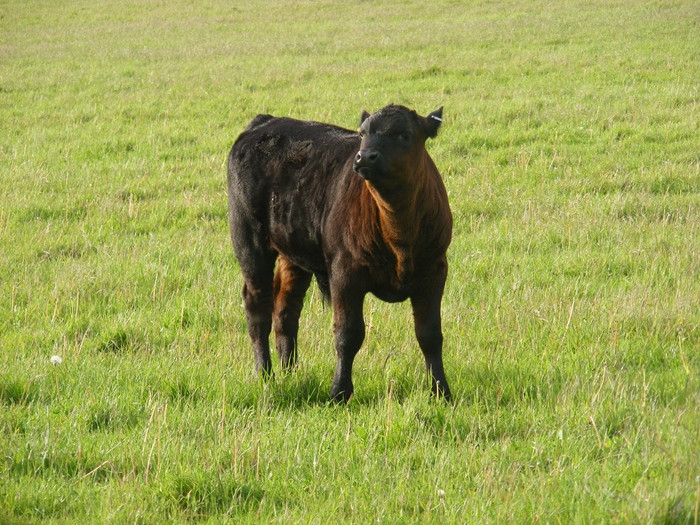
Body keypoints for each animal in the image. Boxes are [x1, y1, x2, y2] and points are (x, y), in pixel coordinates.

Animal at [227, 104, 453, 402]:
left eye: (404, 134)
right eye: (362, 133)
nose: (365, 156)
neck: (399, 235)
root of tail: (266, 122)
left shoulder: (435, 272)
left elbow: (430, 335)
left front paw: (441, 391)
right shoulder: (345, 273)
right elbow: (348, 334)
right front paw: (339, 391)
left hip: (294, 253)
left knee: (286, 308)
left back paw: (290, 372)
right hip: (248, 240)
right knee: (258, 306)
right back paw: (265, 374)